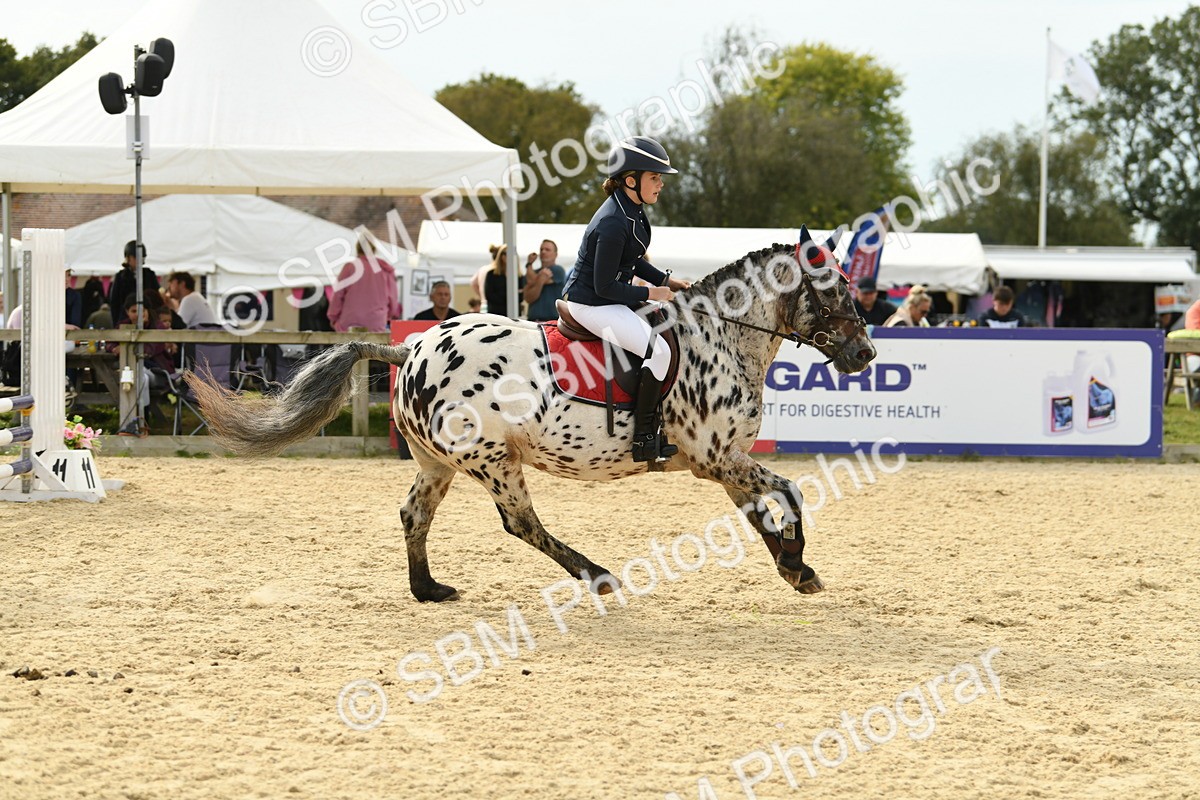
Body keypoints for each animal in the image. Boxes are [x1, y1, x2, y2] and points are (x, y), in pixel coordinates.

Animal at [187, 239, 877, 602]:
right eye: (835, 291)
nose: (865, 355)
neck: (725, 335)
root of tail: (410, 348)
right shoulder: (716, 458)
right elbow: (789, 492)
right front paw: (799, 561)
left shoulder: (723, 463)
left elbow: (762, 512)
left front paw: (795, 567)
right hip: (495, 460)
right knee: (520, 522)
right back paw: (597, 575)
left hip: (438, 462)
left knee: (414, 514)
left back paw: (428, 588)